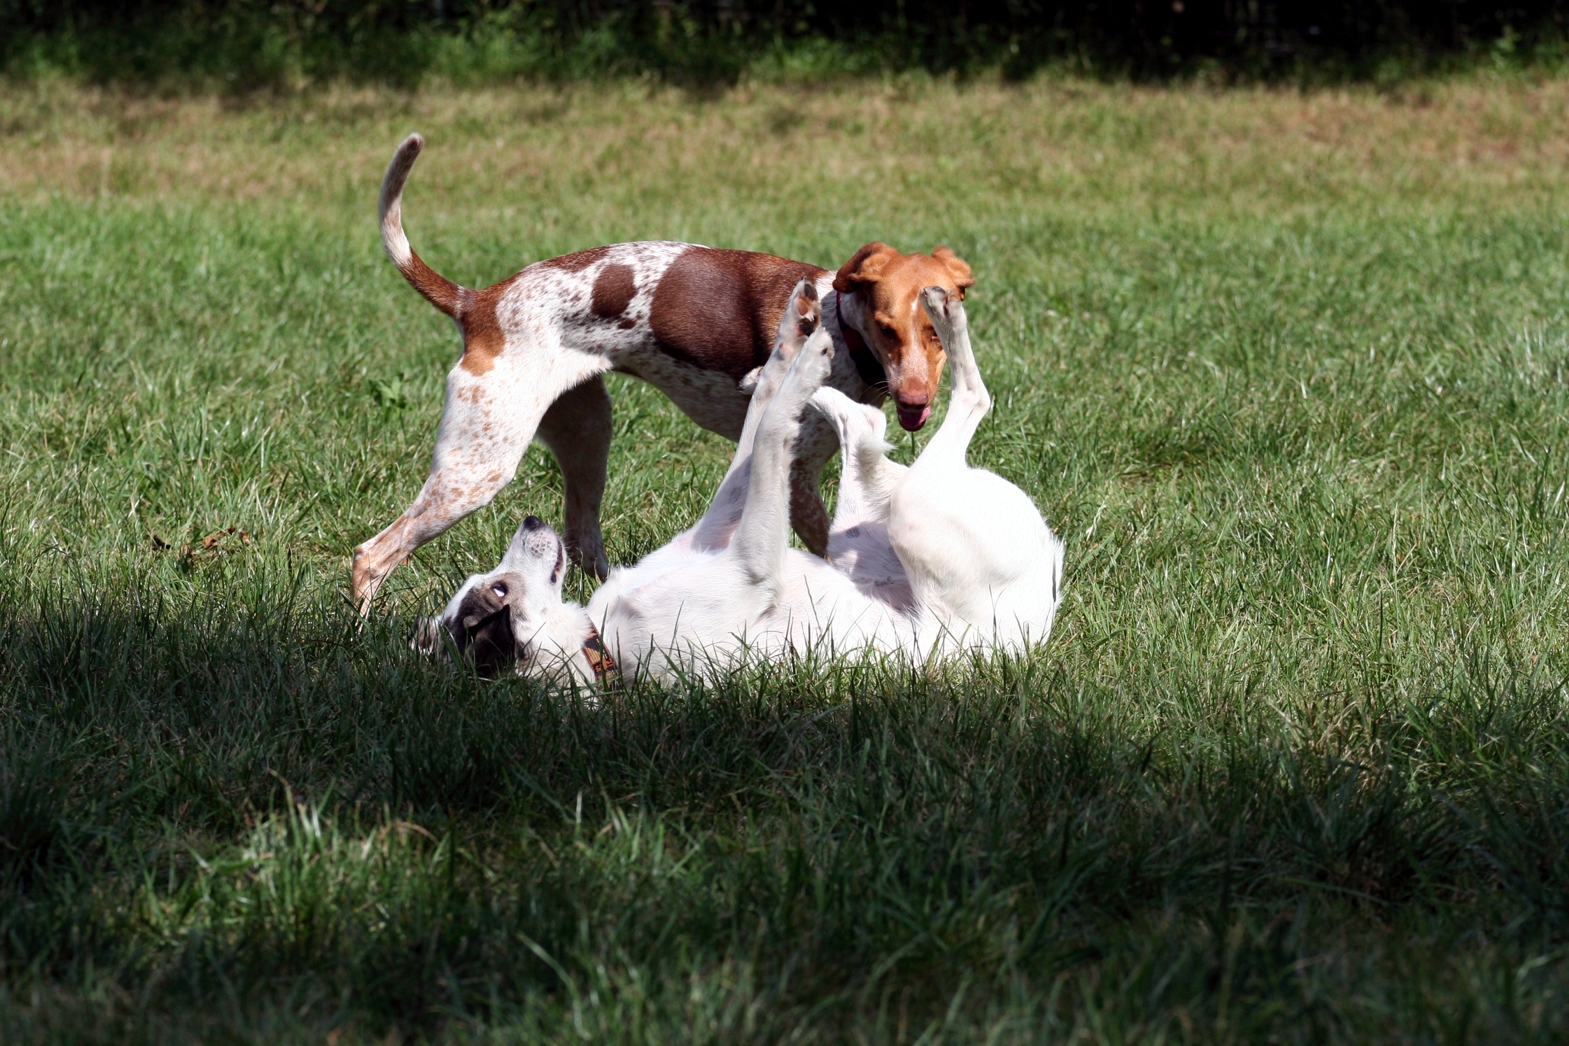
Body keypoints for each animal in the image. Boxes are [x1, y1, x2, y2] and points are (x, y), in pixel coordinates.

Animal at [349, 134, 972, 608]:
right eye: (887, 327)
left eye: (937, 333)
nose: (916, 400)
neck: (845, 331)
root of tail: (479, 302)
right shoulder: (799, 478)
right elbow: (831, 553)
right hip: (479, 468)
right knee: (371, 555)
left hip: (587, 436)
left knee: (581, 541)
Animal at [429, 280, 1066, 686]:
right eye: (498, 591)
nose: (530, 520)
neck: (601, 644)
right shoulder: (750, 564)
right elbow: (770, 435)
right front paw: (805, 362)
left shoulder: (717, 530)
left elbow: (756, 434)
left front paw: (788, 347)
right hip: (918, 513)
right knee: (967, 402)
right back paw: (930, 321)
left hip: (857, 532)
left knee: (869, 428)